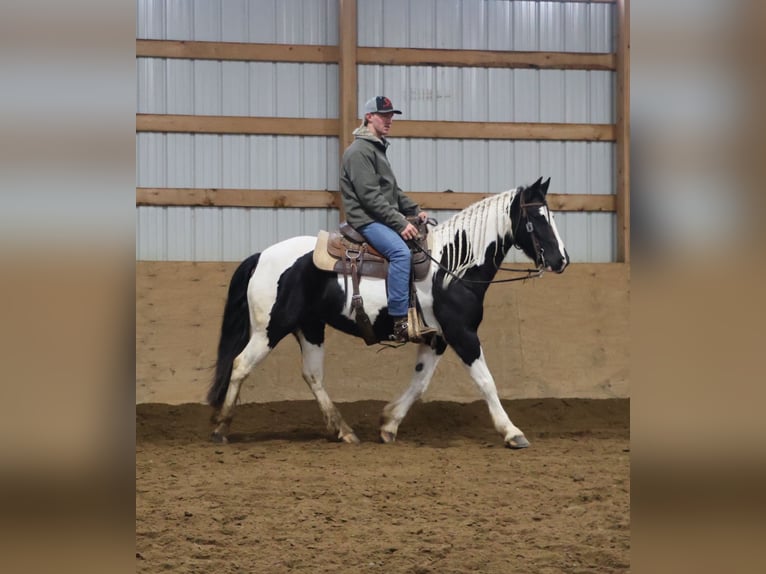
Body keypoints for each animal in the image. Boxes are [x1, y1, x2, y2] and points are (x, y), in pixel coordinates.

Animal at [207, 176, 569, 448]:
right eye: (537, 219)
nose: (562, 260)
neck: (451, 267)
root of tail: (262, 255)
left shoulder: (437, 339)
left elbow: (420, 382)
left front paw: (388, 424)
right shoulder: (462, 334)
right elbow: (486, 381)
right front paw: (512, 432)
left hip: (309, 327)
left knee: (312, 375)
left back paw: (343, 430)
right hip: (269, 329)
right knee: (240, 365)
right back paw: (221, 428)